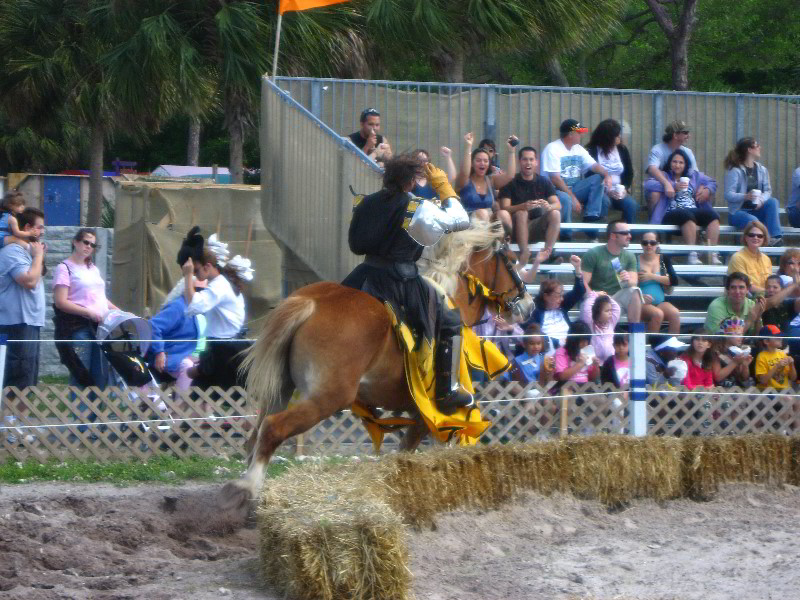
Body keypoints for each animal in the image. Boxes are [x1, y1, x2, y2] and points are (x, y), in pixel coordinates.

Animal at [222, 221, 532, 510]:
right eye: (512, 260)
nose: (527, 305)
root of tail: (311, 302)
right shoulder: (427, 417)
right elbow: (409, 450)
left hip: (282, 390)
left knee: (255, 436)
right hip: (327, 399)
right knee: (273, 429)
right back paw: (248, 488)